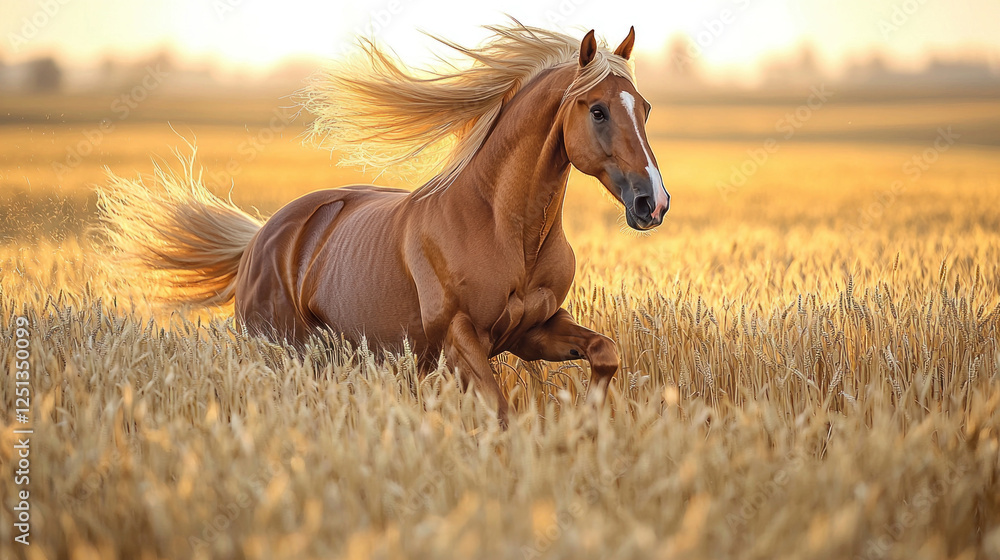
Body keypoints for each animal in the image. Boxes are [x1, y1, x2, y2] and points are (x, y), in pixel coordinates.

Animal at [98, 24, 670, 428]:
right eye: (597, 110)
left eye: (644, 107)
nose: (653, 203)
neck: (503, 227)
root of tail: (261, 238)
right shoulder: (459, 339)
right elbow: (500, 412)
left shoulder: (533, 330)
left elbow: (605, 352)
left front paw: (587, 426)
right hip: (280, 351)